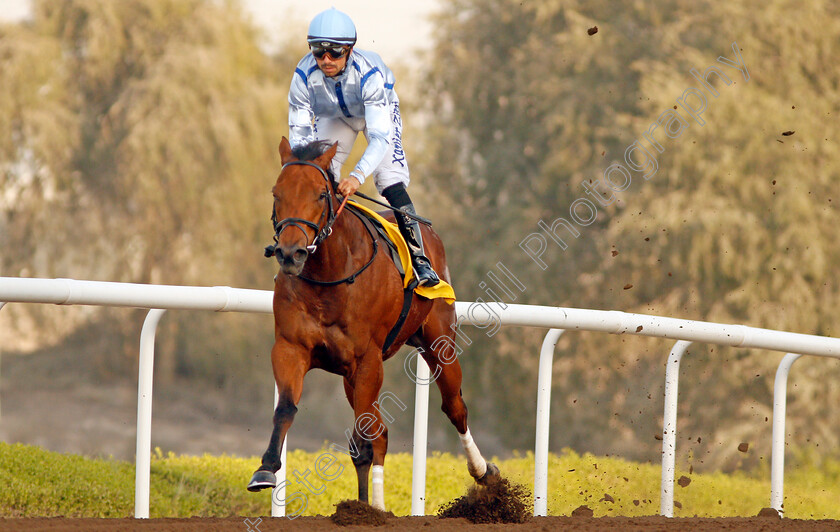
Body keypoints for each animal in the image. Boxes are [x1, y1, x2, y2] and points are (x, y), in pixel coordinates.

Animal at [248, 137, 498, 512]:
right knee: (380, 433)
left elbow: (364, 438)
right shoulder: (292, 348)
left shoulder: (367, 360)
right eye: (276, 193)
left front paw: (365, 511)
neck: (331, 275)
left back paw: (484, 471)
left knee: (455, 406)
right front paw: (265, 469)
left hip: (439, 344)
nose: (291, 254)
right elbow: (287, 408)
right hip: (353, 377)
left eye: (319, 195)